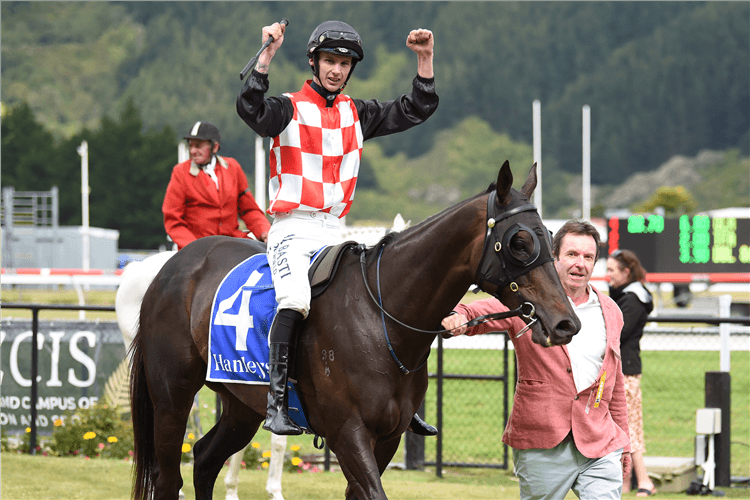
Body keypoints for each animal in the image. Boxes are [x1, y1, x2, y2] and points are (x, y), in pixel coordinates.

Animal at [129, 160, 580, 500]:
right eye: (519, 241)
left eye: (549, 235)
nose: (566, 323)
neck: (382, 318)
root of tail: (174, 265)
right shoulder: (348, 432)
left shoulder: (388, 436)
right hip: (172, 399)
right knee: (170, 477)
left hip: (242, 404)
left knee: (205, 460)